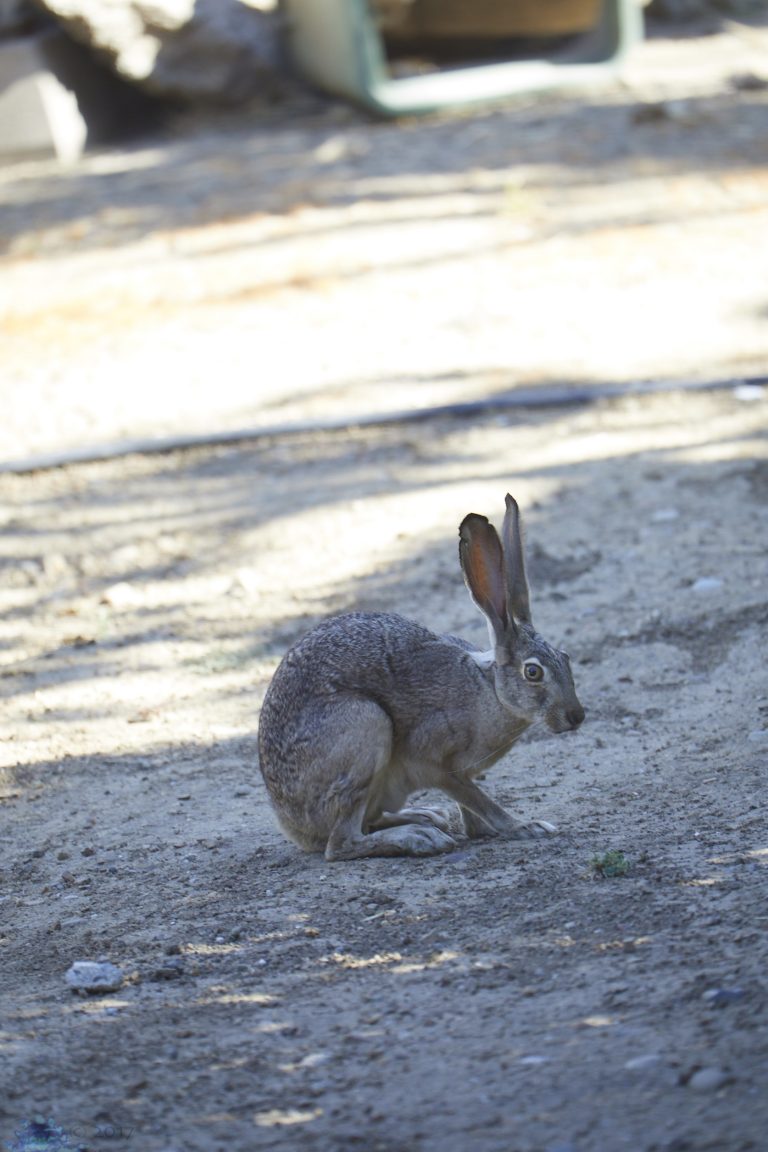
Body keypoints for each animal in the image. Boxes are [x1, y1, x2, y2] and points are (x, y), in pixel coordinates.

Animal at [258, 494, 584, 861]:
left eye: (566, 658)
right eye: (533, 671)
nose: (576, 716)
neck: (490, 691)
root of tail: (290, 821)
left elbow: (472, 809)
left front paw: (482, 829)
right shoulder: (437, 764)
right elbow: (479, 800)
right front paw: (525, 827)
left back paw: (426, 816)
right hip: (365, 726)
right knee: (341, 844)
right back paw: (419, 837)